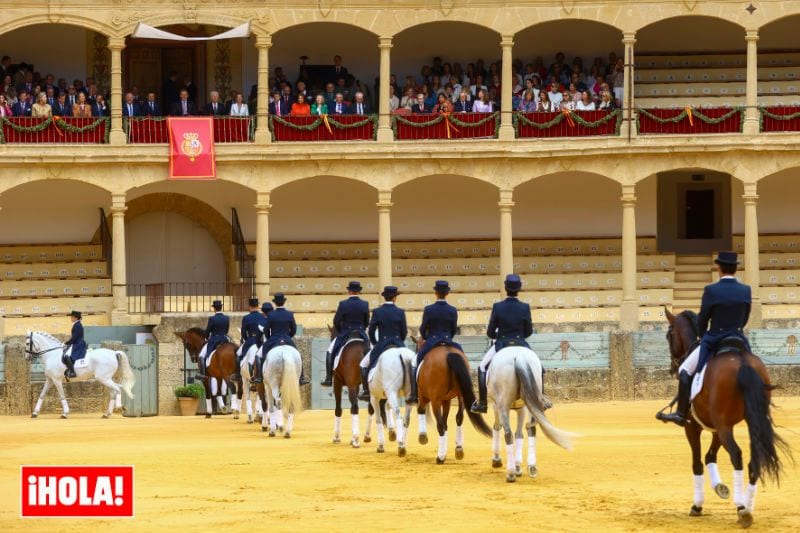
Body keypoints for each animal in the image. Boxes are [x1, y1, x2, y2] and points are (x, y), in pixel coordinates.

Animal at [488, 344, 576, 482]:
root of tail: (518, 356)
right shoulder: (523, 408)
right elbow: (519, 434)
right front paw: (518, 467)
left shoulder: (496, 405)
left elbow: (498, 427)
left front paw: (498, 460)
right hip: (531, 400)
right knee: (531, 429)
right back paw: (532, 467)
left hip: (503, 405)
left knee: (507, 434)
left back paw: (510, 473)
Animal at [664, 308, 788, 528]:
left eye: (669, 335)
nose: (672, 368)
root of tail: (743, 362)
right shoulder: (718, 426)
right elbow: (710, 456)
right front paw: (720, 488)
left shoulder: (694, 427)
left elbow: (698, 462)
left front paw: (697, 505)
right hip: (750, 422)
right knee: (754, 459)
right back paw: (747, 507)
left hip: (723, 427)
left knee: (737, 455)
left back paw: (741, 507)